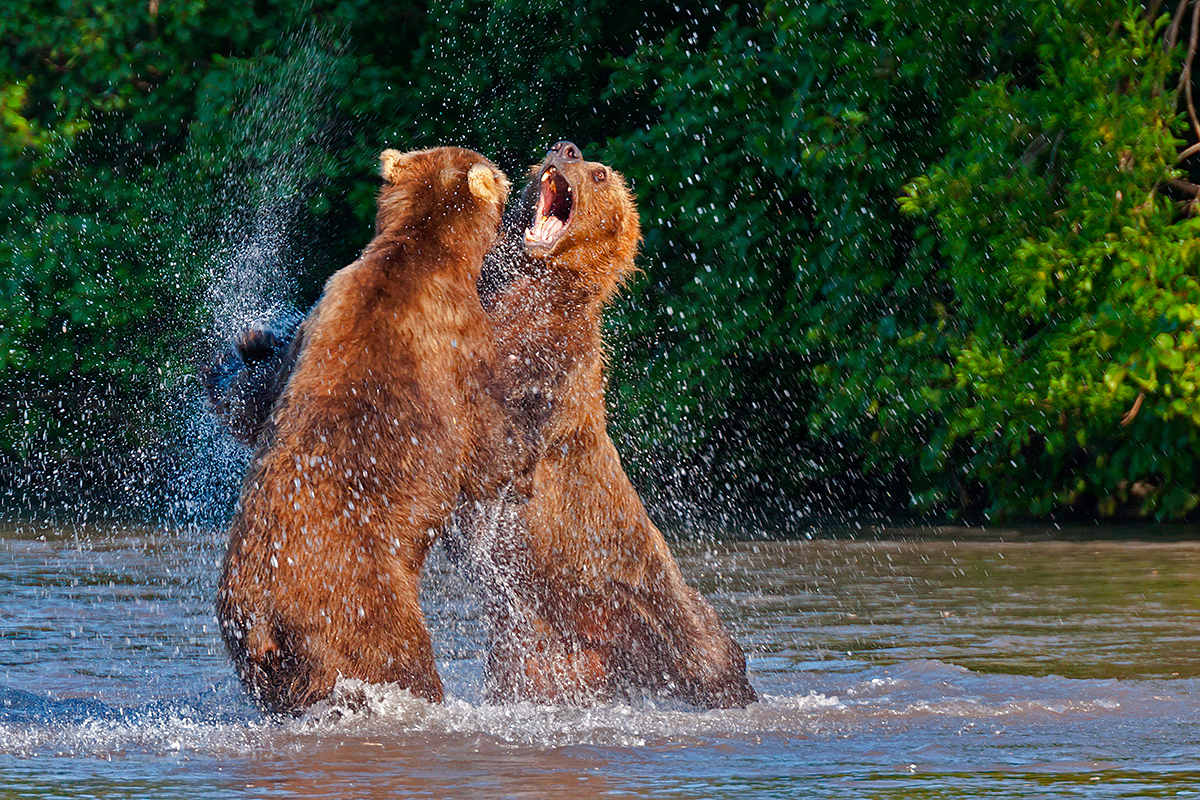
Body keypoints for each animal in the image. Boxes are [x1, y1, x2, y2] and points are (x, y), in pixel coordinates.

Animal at [460, 142, 753, 705]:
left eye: (599, 175)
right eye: (565, 153)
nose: (566, 148)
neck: (532, 286)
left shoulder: (549, 366)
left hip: (662, 616)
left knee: (717, 659)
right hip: (543, 655)